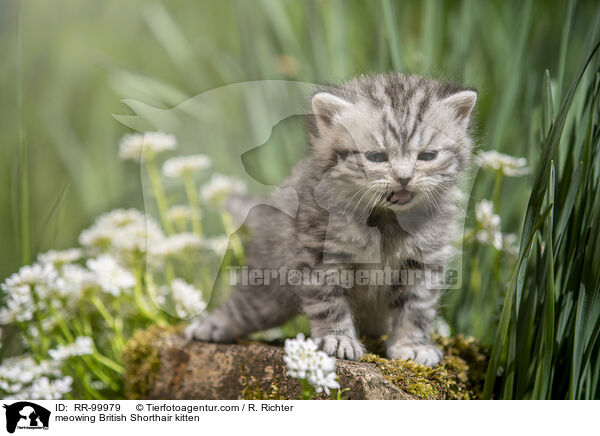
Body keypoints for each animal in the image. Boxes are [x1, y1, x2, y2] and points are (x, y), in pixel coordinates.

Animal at [185, 73, 476, 366]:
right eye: (376, 156)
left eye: (427, 156)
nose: (404, 178)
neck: (386, 221)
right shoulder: (319, 256)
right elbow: (329, 303)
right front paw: (338, 340)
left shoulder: (424, 263)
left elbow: (417, 309)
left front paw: (412, 346)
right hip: (267, 288)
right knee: (244, 306)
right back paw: (210, 326)